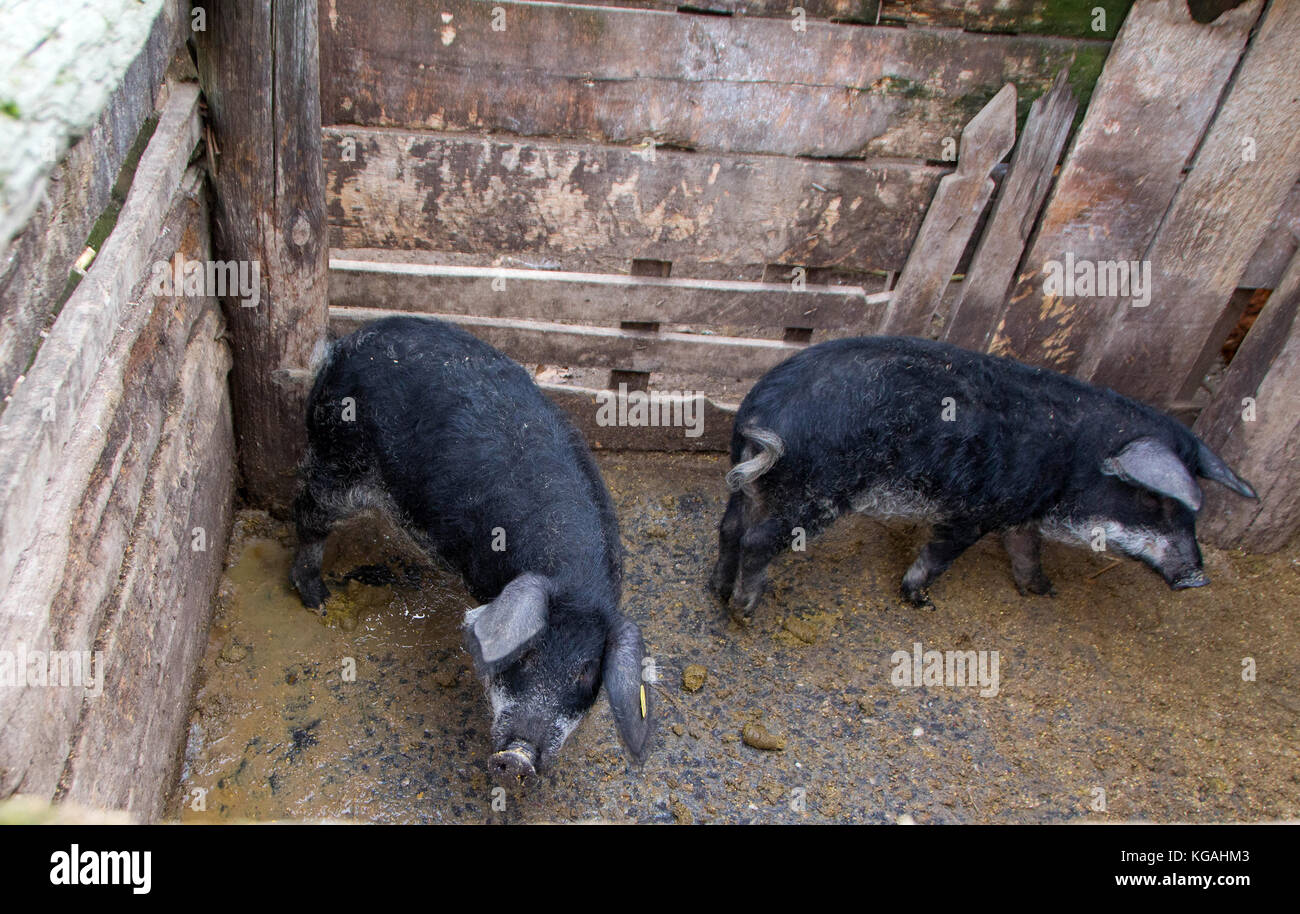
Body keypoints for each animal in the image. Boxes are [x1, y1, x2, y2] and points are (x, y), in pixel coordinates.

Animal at [286, 315, 650, 780]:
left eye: (586, 675)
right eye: (524, 657)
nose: (518, 757)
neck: (574, 580)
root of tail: (340, 346)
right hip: (337, 457)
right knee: (306, 510)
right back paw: (319, 599)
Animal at [712, 335, 1258, 613]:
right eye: (1158, 502)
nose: (1197, 578)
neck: (1074, 464)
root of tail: (764, 414)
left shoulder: (1021, 513)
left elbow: (1026, 550)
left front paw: (1043, 591)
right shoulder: (977, 509)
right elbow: (941, 555)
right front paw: (919, 601)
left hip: (756, 488)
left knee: (730, 528)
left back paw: (718, 589)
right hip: (817, 495)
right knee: (757, 540)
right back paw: (744, 608)